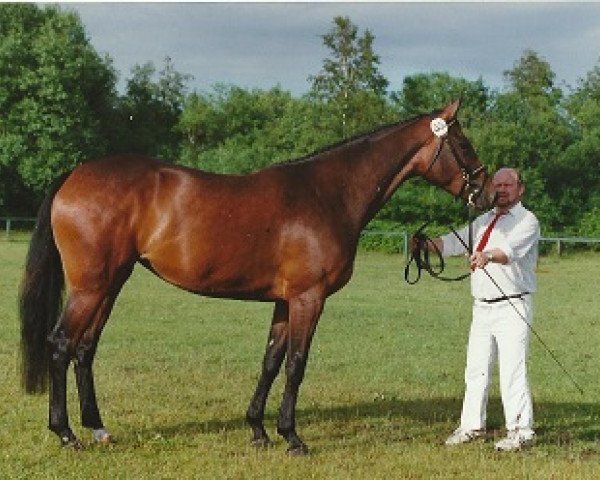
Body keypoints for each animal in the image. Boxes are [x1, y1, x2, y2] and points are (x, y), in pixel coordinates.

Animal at [19, 100, 496, 454]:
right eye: (464, 142)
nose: (488, 192)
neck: (328, 194)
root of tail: (75, 175)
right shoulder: (308, 298)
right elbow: (296, 364)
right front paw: (293, 437)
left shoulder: (285, 301)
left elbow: (270, 361)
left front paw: (259, 431)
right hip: (91, 286)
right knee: (61, 344)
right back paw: (66, 434)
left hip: (111, 283)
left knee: (85, 348)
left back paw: (98, 428)